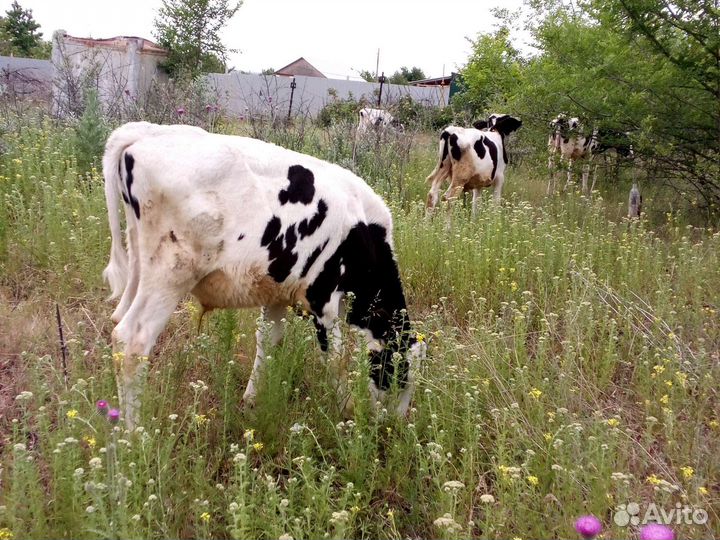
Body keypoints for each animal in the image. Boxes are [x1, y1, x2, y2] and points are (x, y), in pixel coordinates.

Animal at [102, 122, 425, 428]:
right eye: (400, 372)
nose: (394, 423)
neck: (364, 230)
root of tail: (147, 132)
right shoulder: (322, 298)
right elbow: (334, 358)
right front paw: (347, 413)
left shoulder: (278, 292)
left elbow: (268, 341)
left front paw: (250, 403)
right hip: (171, 273)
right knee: (132, 340)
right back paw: (134, 434)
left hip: (139, 263)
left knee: (118, 321)